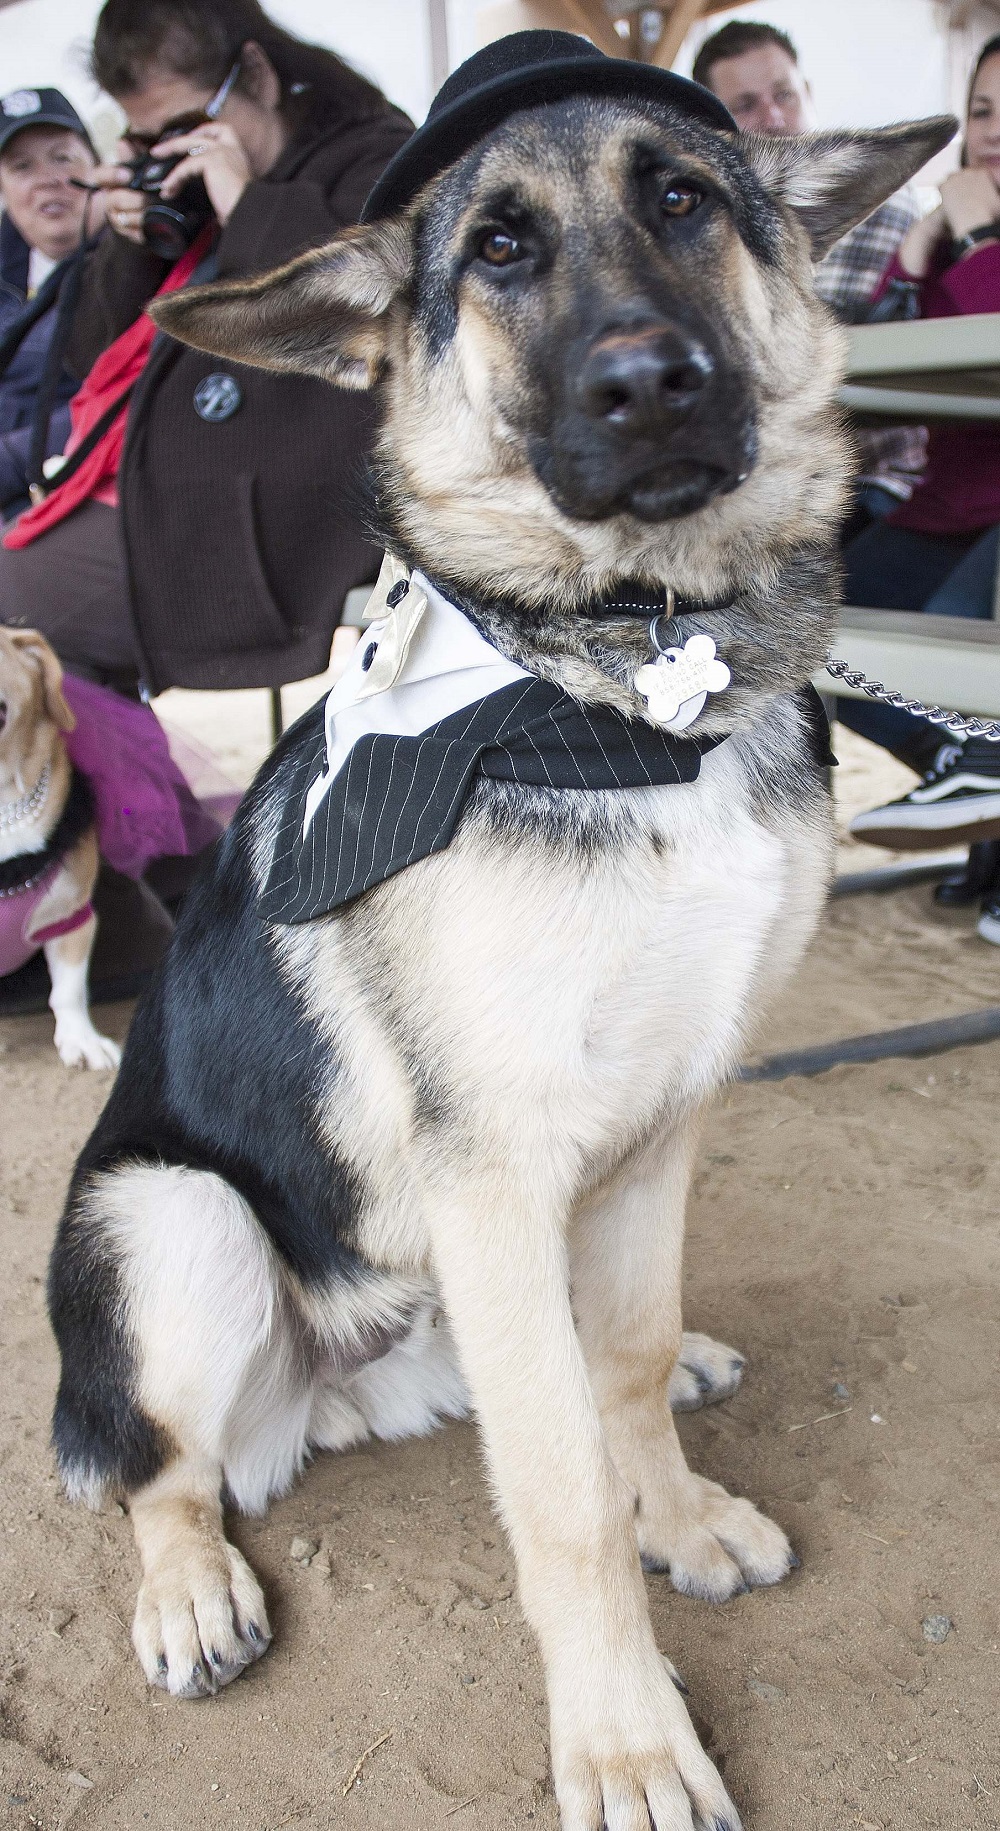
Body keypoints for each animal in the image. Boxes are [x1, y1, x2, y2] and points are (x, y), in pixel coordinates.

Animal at [48, 96, 952, 1831]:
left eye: (687, 200)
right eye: (499, 250)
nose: (649, 380)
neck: (640, 682)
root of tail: (342, 1384)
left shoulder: (664, 1122)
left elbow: (630, 1364)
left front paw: (683, 1504)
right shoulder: (498, 1166)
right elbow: (564, 1499)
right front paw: (626, 1741)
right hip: (175, 1215)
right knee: (160, 1470)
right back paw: (190, 1587)